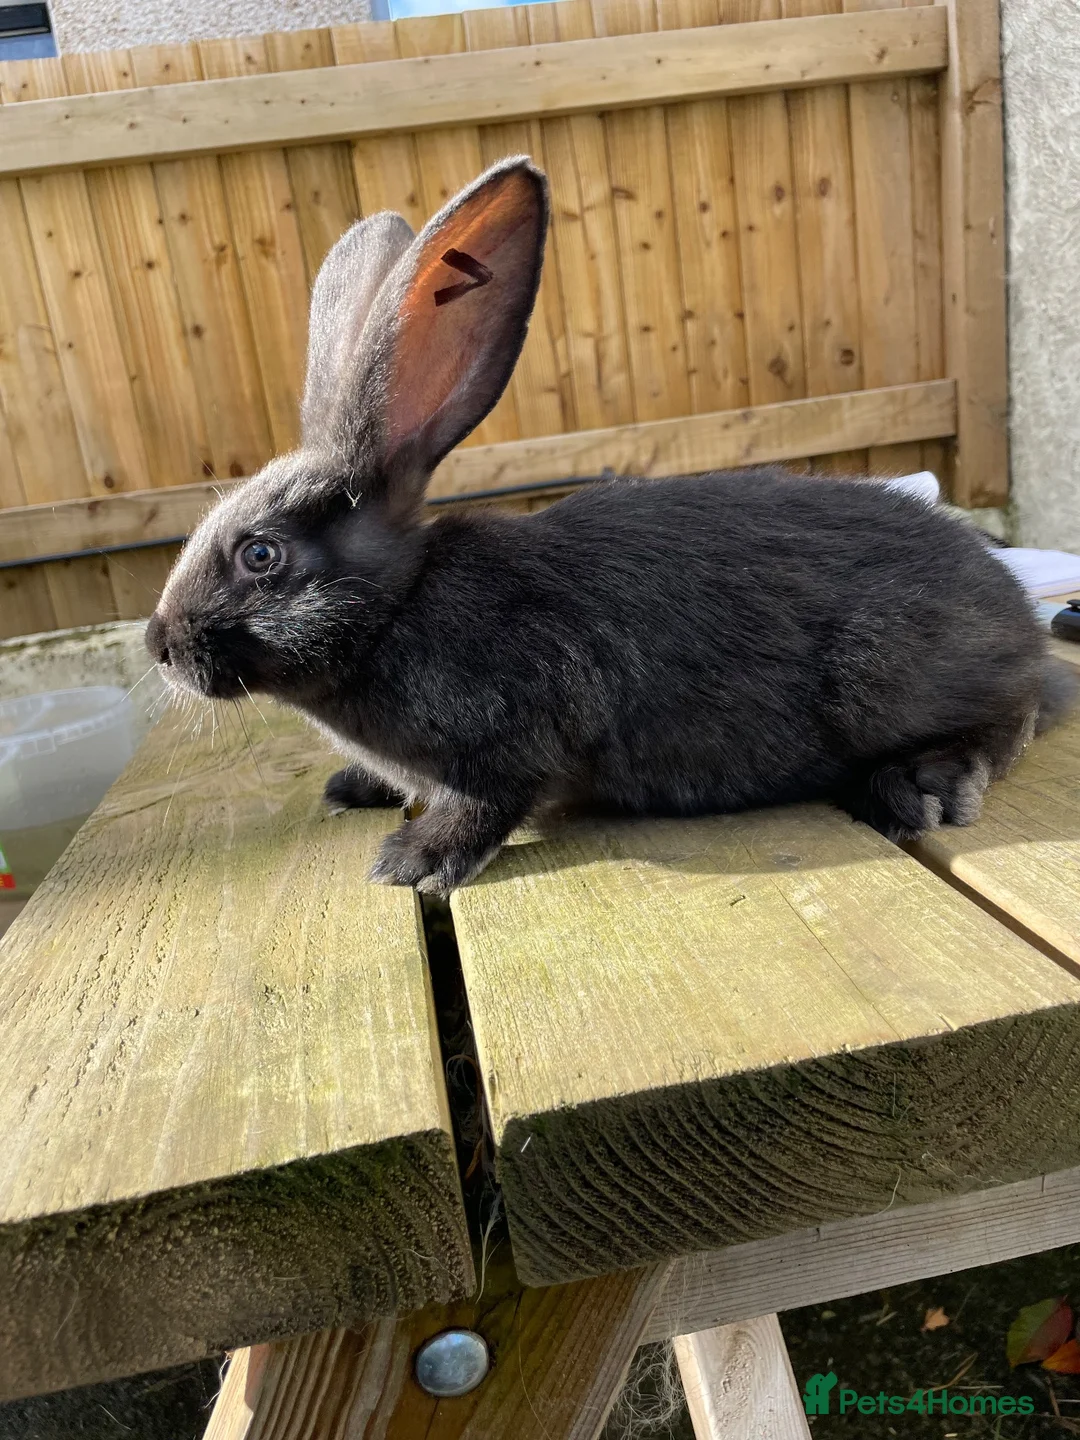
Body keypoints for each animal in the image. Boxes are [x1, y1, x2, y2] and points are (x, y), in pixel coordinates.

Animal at [146, 155, 1076, 894]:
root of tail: (1015, 612)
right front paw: (358, 788)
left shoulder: (512, 736)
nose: (160, 645)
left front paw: (411, 863)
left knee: (1011, 716)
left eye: (260, 554)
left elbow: (483, 803)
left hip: (890, 676)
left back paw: (926, 783)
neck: (398, 607)